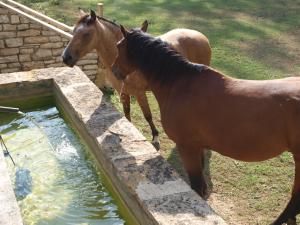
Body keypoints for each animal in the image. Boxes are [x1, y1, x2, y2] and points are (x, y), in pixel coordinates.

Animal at [61, 10, 211, 150]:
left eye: (86, 34)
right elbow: (127, 113)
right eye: (73, 31)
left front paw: (155, 138)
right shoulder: (123, 92)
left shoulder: (140, 93)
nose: (65, 57)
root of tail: (200, 35)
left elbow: (148, 115)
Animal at [111, 25, 300, 224]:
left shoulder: (187, 147)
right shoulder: (199, 147)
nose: (114, 70)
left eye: (118, 45)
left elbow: (197, 186)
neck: (179, 85)